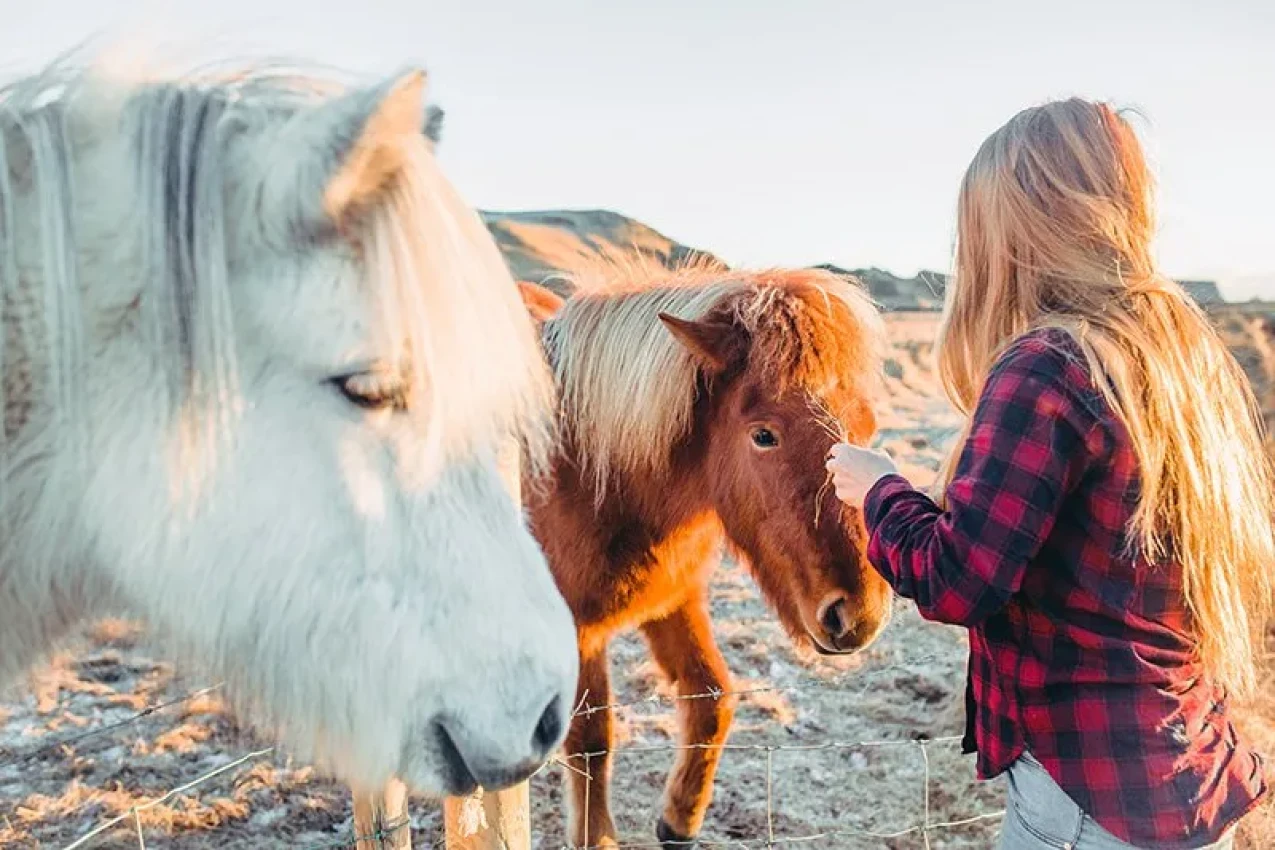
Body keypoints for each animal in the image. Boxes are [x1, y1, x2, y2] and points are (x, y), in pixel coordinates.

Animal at [516, 261, 894, 848]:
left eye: (868, 428)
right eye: (764, 435)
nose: (860, 616)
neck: (584, 465)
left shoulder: (673, 598)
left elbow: (712, 698)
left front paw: (679, 818)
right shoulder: (576, 629)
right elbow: (591, 737)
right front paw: (596, 836)